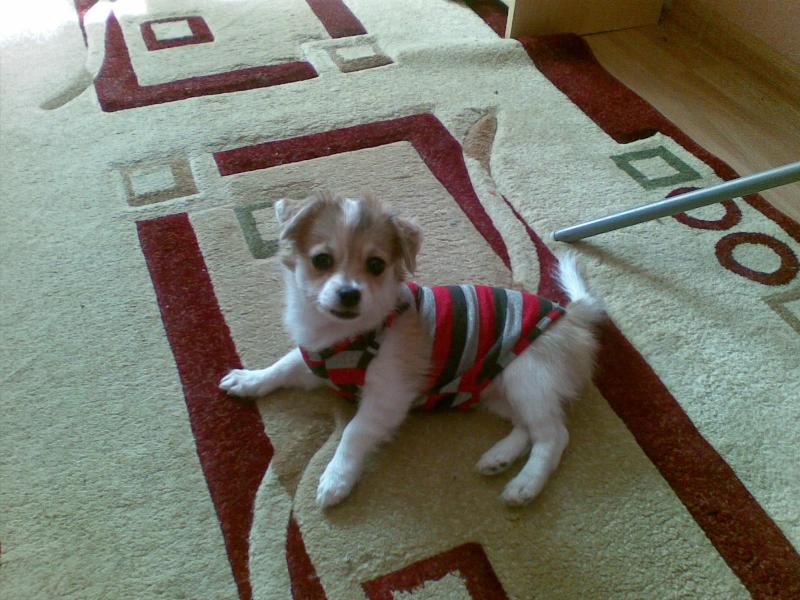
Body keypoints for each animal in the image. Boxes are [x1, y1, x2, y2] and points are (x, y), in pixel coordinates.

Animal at [220, 191, 605, 508]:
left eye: (376, 265)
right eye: (322, 260)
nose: (349, 294)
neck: (344, 337)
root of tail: (571, 314)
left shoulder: (388, 396)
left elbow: (354, 431)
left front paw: (336, 478)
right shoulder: (314, 358)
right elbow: (283, 366)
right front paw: (250, 380)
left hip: (528, 375)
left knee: (553, 435)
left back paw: (525, 485)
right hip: (495, 389)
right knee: (528, 428)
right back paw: (500, 457)